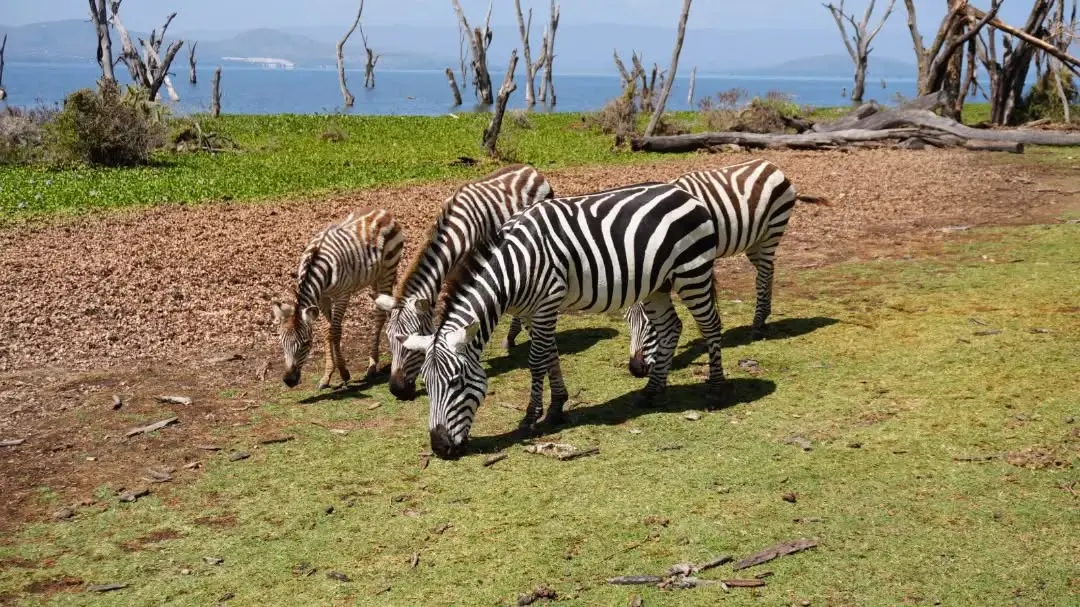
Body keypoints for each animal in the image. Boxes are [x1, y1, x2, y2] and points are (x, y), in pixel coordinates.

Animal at [271, 208, 404, 389]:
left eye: (306, 343)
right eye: (282, 342)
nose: (289, 380)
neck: (317, 266)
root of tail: (383, 212)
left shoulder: (342, 295)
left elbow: (335, 331)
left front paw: (344, 373)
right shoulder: (322, 298)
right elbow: (327, 331)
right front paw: (326, 376)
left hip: (388, 270)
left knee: (379, 315)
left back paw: (372, 366)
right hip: (374, 277)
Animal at [373, 164, 554, 401]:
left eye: (413, 342)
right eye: (389, 340)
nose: (397, 390)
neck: (456, 236)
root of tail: (530, 168)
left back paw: (511, 335)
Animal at [399, 182, 727, 459]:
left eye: (455, 382)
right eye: (426, 384)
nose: (439, 448)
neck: (515, 267)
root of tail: (685, 194)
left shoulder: (547, 303)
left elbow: (536, 360)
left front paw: (531, 417)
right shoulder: (530, 311)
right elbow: (550, 355)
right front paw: (557, 407)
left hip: (692, 272)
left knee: (710, 325)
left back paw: (715, 390)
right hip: (657, 284)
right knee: (671, 327)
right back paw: (652, 391)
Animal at [623, 159, 831, 378]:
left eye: (651, 323)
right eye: (627, 320)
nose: (635, 369)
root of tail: (771, 165)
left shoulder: (699, 254)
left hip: (772, 230)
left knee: (763, 275)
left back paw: (757, 324)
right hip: (755, 241)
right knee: (768, 270)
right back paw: (765, 314)